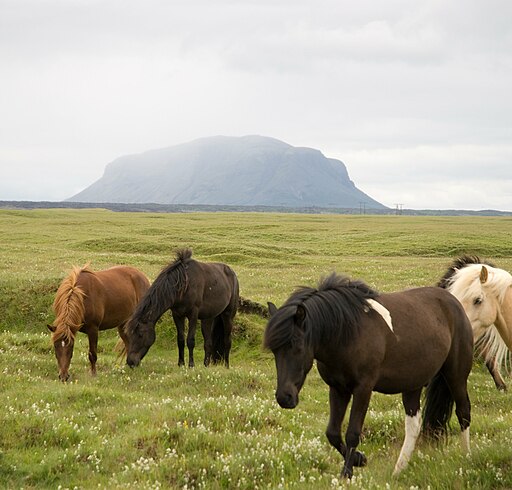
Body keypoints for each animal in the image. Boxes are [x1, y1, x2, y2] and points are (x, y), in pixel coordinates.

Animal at [264, 274, 472, 476]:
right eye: (274, 350)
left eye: (297, 346)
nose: (284, 397)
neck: (347, 334)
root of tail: (452, 301)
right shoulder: (338, 388)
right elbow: (333, 433)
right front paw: (359, 459)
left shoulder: (363, 388)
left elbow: (352, 433)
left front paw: (347, 473)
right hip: (412, 384)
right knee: (413, 425)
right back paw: (398, 470)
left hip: (456, 375)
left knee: (463, 412)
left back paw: (466, 458)